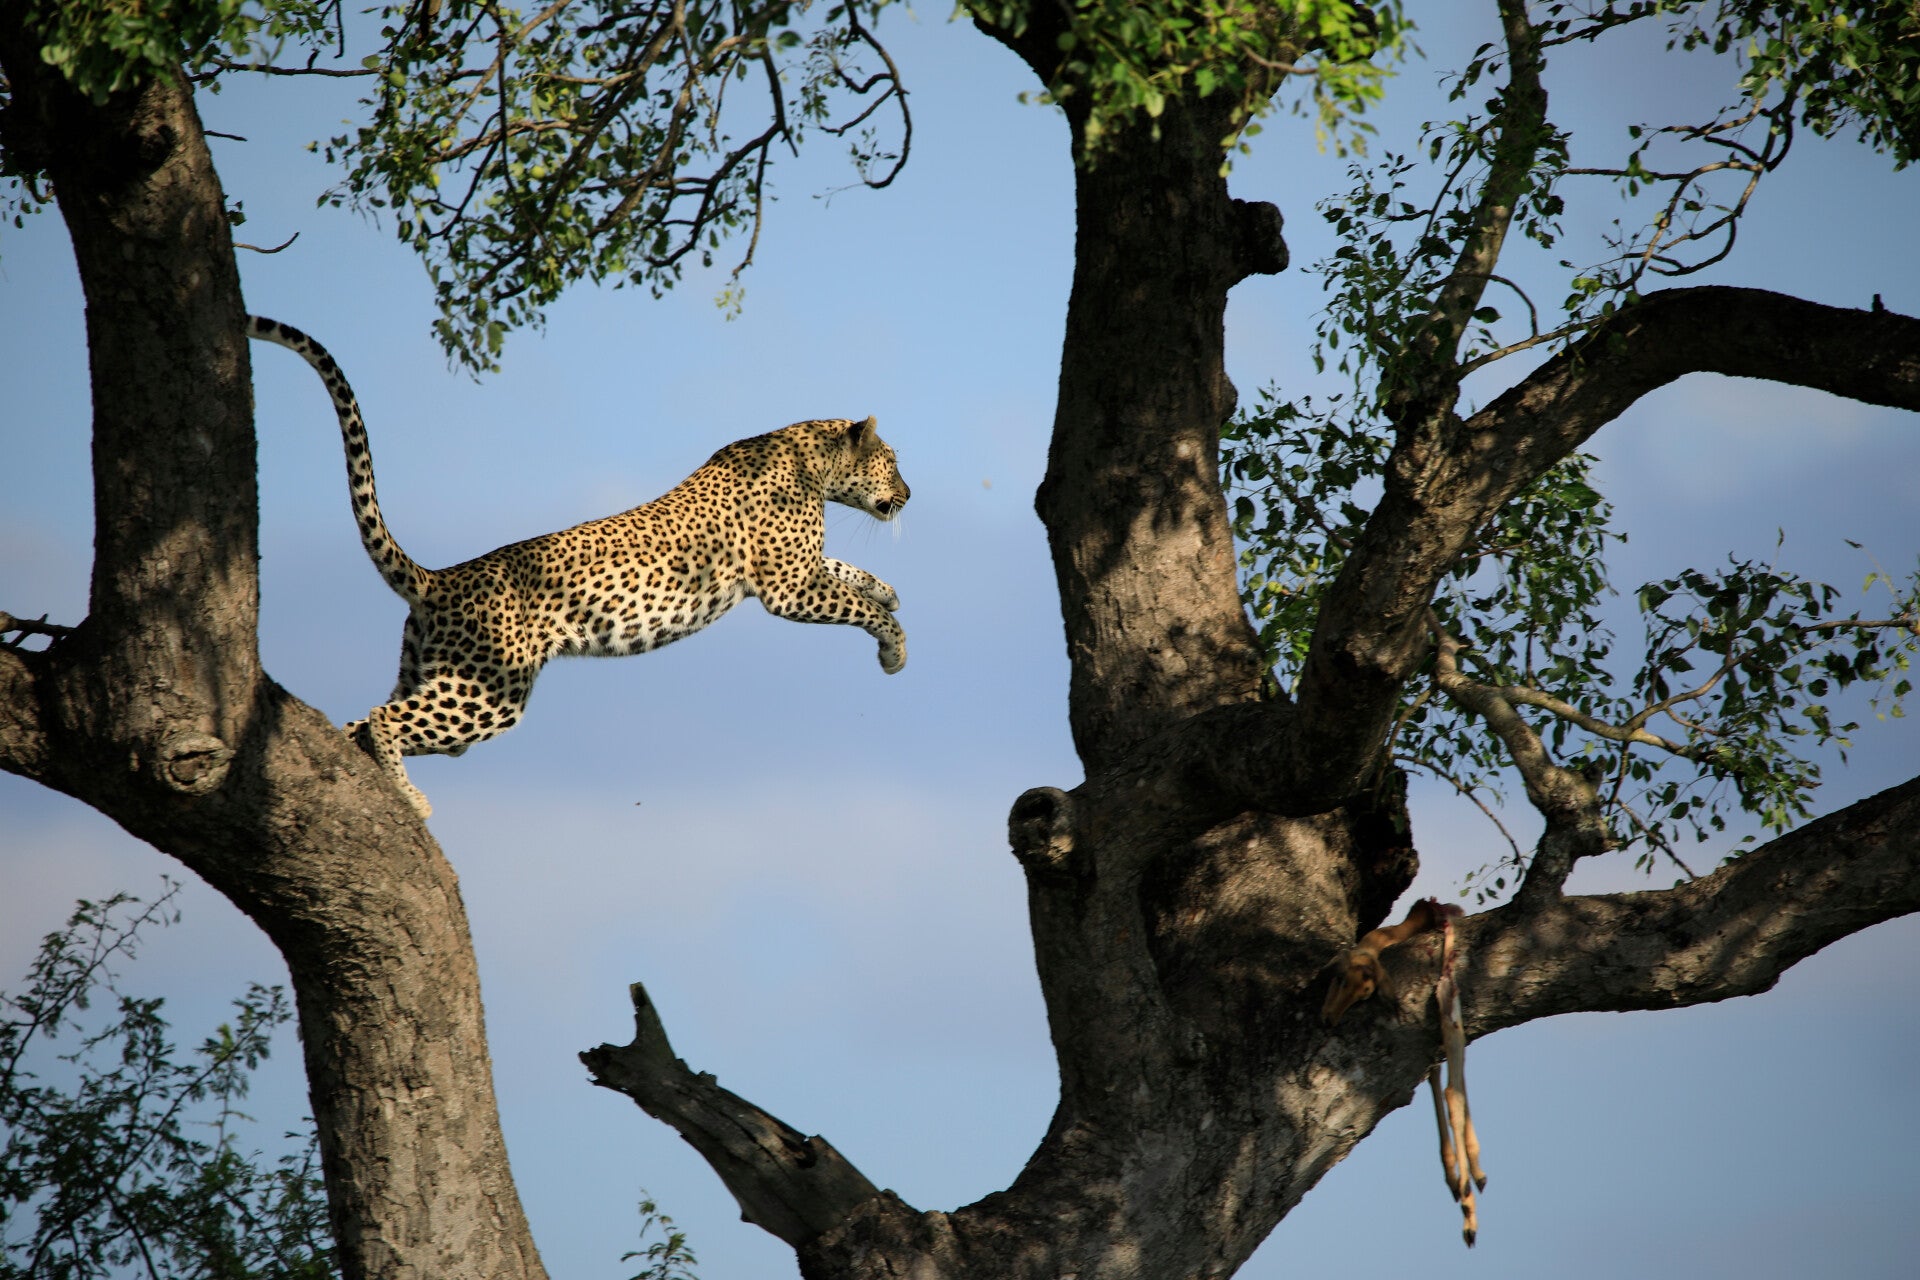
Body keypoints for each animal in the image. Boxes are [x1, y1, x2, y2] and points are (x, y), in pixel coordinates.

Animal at [248, 315, 909, 818]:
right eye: (894, 460)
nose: (908, 494)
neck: (811, 460)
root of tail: (441, 579)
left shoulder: (801, 571)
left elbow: (850, 572)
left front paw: (889, 592)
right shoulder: (789, 587)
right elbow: (854, 601)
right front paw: (894, 650)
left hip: (432, 670)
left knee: (358, 722)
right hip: (488, 689)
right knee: (383, 718)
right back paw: (413, 800)